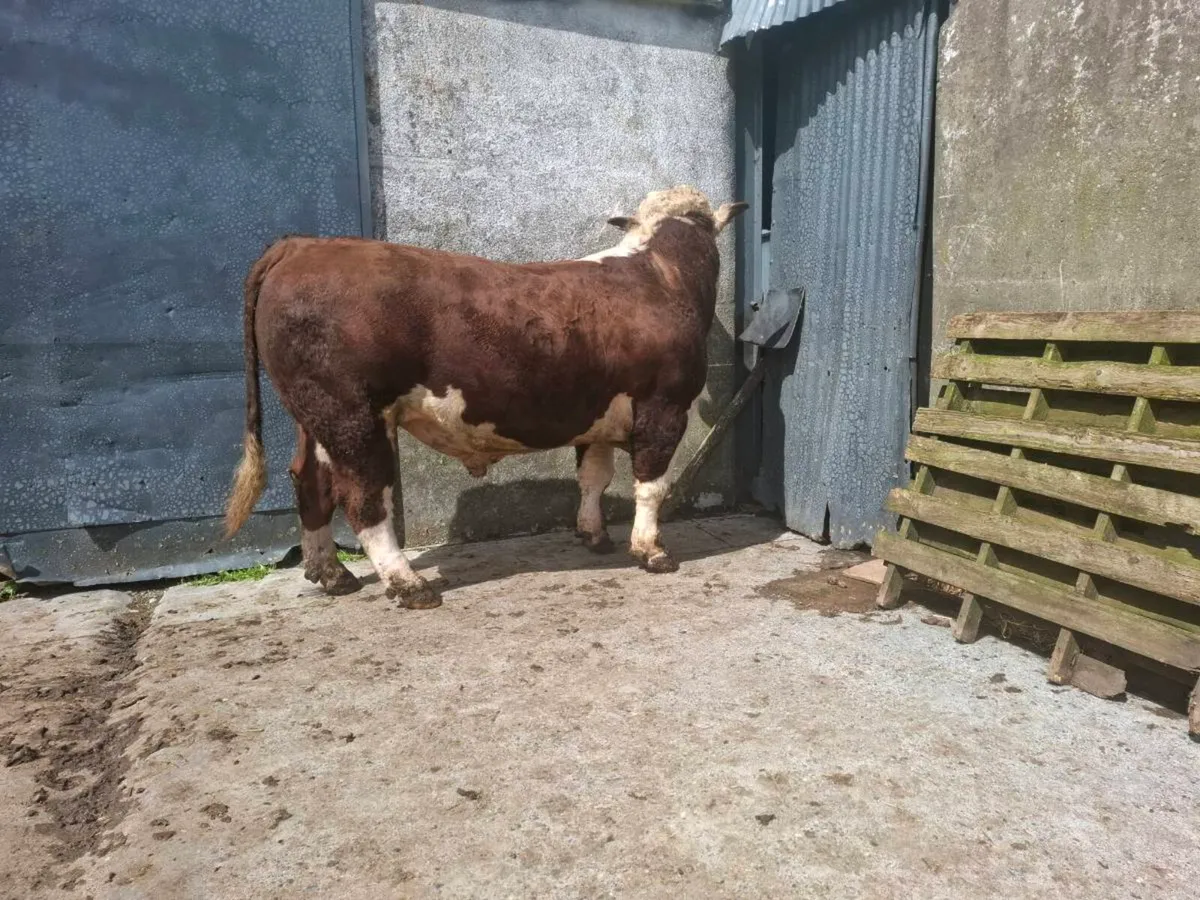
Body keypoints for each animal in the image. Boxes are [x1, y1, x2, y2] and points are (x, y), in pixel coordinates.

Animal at [223, 185, 747, 608]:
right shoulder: (664, 406)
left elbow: (594, 478)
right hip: (351, 416)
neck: (662, 274)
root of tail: (303, 245)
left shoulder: (598, 415)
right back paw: (408, 584)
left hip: (315, 417)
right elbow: (652, 484)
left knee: (310, 482)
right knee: (364, 497)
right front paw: (651, 550)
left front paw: (593, 534)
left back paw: (332, 573)